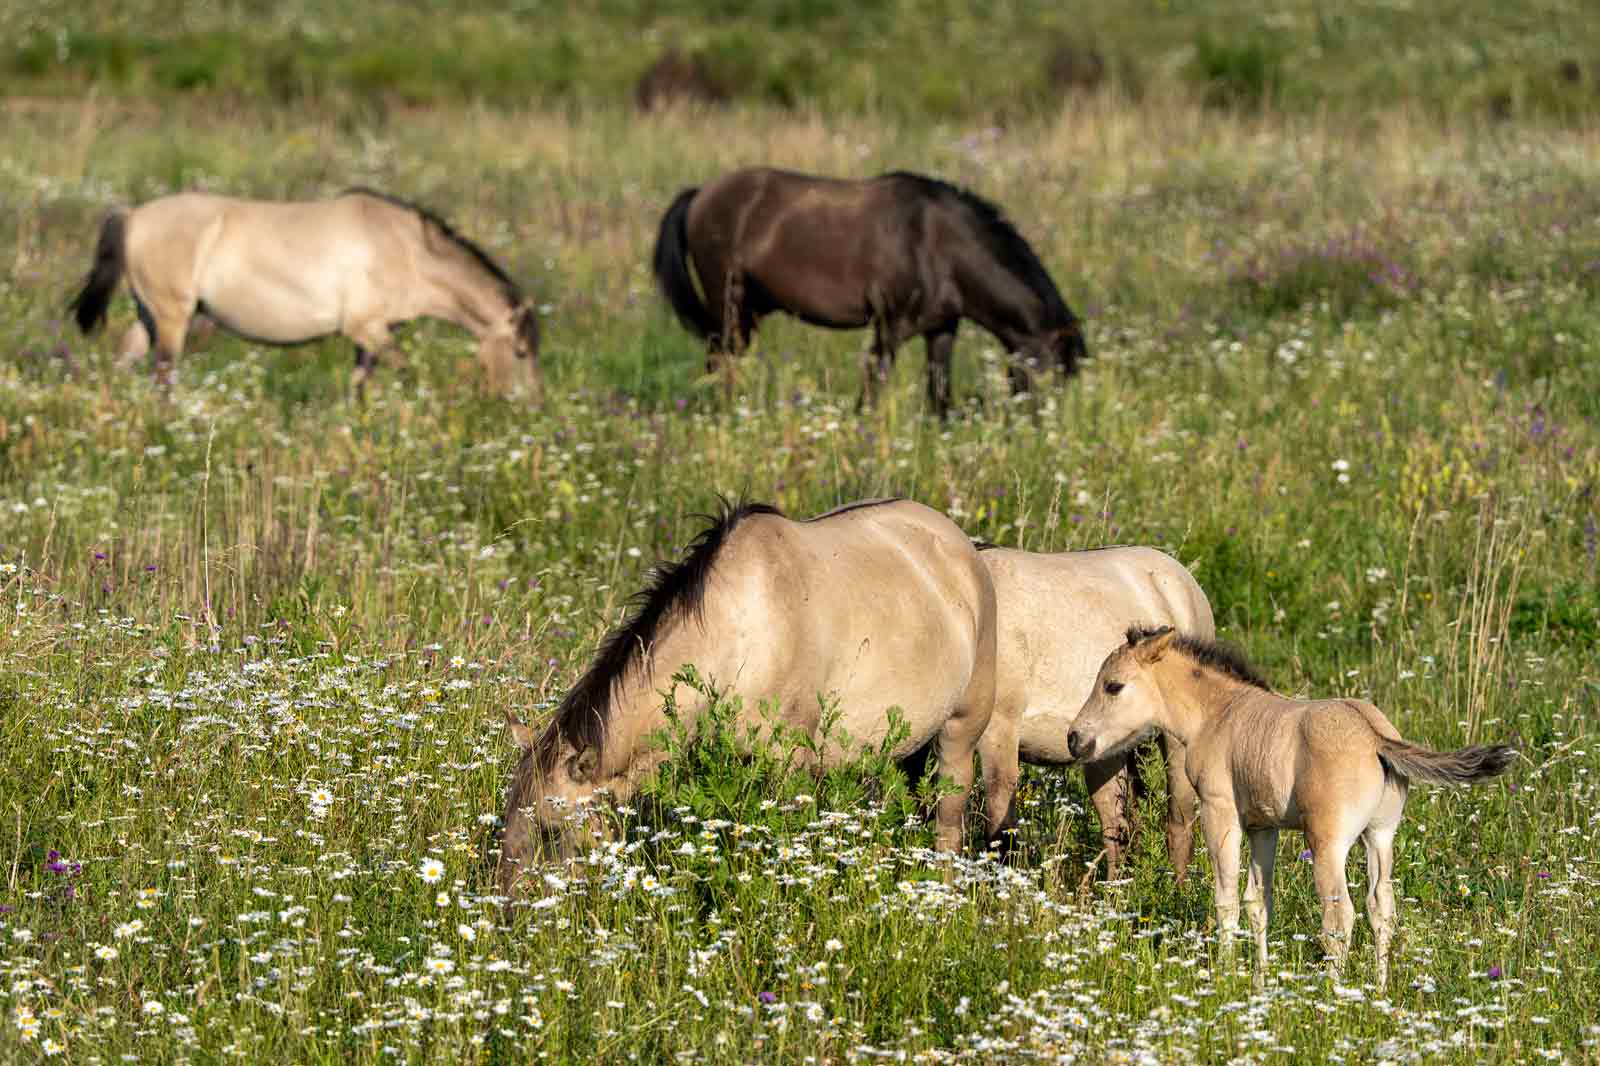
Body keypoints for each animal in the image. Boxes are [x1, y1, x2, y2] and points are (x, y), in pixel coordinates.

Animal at [68, 187, 542, 399]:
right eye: (520, 352)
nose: (527, 409)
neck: (403, 249)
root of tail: (133, 214)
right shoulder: (365, 328)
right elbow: (406, 371)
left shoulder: (370, 335)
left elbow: (359, 385)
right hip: (172, 318)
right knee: (163, 374)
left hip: (150, 315)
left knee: (128, 356)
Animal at [496, 498, 1014, 897]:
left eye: (552, 831)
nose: (509, 915)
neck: (741, 628)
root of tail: (961, 548)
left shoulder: (789, 764)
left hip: (960, 731)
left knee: (949, 821)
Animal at [651, 167, 1087, 417]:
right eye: (1053, 374)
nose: (1040, 427)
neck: (939, 244)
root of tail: (700, 193)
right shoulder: (890, 328)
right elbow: (872, 389)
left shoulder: (941, 330)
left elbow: (939, 396)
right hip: (731, 307)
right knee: (719, 362)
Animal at [1068, 625, 1517, 987]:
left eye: (1113, 686)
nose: (1075, 739)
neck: (1216, 714)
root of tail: (1376, 737)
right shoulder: (1262, 827)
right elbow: (1258, 903)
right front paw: (1260, 982)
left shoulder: (1219, 813)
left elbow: (1227, 898)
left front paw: (1226, 978)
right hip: (1380, 835)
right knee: (1381, 910)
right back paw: (1380, 992)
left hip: (1328, 843)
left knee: (1340, 916)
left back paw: (1333, 1000)